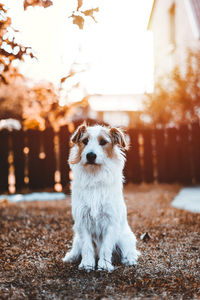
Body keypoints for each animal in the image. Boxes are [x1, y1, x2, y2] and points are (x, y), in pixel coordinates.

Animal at [63, 122, 141, 272]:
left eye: (103, 142)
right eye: (85, 141)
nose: (90, 155)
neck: (95, 175)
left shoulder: (111, 221)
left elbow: (106, 247)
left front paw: (104, 265)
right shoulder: (82, 221)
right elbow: (87, 247)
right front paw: (87, 264)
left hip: (124, 237)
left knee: (129, 250)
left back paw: (130, 259)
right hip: (77, 238)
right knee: (78, 249)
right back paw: (71, 257)